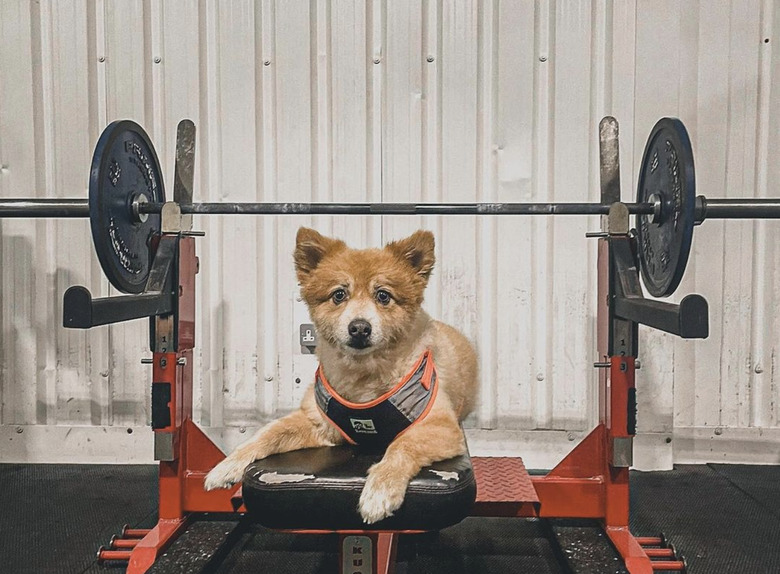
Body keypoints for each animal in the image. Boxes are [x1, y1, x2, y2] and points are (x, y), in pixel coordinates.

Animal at [204, 227, 478, 524]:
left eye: (383, 296)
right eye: (339, 295)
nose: (359, 328)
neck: (363, 379)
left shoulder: (442, 427)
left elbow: (402, 446)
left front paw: (380, 490)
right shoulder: (318, 423)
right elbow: (267, 433)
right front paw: (227, 466)